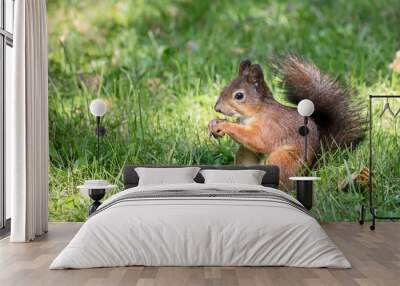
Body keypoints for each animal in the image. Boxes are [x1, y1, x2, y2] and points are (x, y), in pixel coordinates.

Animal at [209, 55, 366, 188]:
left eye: (239, 96)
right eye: (225, 87)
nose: (217, 108)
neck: (255, 112)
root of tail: (308, 171)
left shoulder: (271, 127)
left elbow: (258, 140)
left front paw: (224, 125)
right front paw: (214, 124)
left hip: (283, 159)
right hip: (246, 155)